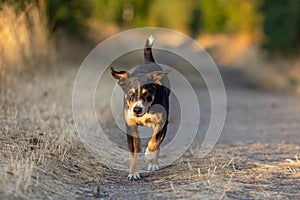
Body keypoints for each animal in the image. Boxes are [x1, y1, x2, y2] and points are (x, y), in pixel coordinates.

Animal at [110, 35, 171, 180]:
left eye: (147, 95)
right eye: (130, 94)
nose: (137, 109)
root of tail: (149, 62)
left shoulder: (162, 122)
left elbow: (154, 141)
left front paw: (149, 155)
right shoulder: (129, 124)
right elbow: (132, 151)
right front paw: (133, 173)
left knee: (158, 143)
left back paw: (153, 163)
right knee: (136, 139)